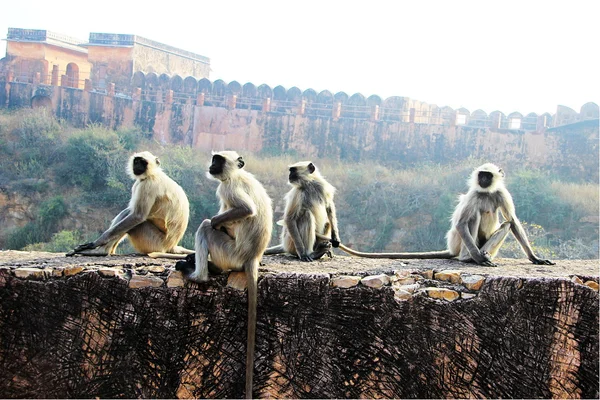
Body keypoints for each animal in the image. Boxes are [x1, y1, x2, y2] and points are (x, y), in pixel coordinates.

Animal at [172, 151, 274, 400]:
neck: (237, 174)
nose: (211, 165)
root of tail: (251, 258)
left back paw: (198, 275)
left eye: (217, 160)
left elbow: (245, 210)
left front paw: (218, 221)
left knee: (206, 227)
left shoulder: (228, 188)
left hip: (229, 252)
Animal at [330, 162, 556, 266]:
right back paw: (470, 257)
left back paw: (485, 255)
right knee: (472, 218)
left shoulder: (501, 193)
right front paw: (477, 258)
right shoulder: (474, 194)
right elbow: (461, 223)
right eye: (481, 175)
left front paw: (535, 258)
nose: (483, 179)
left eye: (488, 176)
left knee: (506, 225)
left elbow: (513, 222)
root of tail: (452, 249)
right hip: (460, 242)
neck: (486, 192)